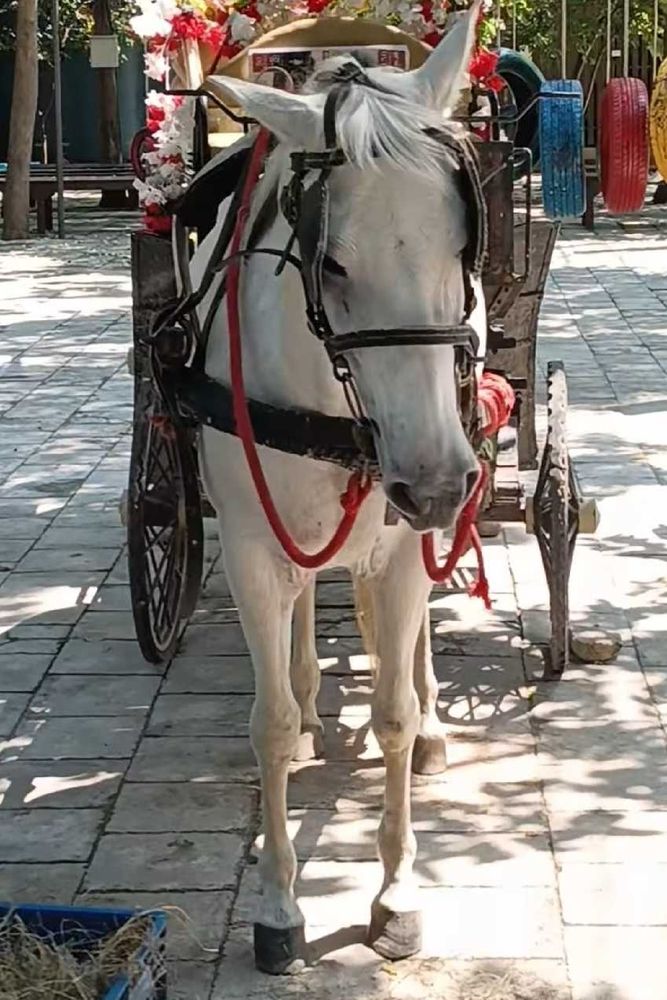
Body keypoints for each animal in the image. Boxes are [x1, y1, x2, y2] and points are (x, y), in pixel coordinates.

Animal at [191, 2, 487, 973]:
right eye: (329, 264)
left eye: (463, 246)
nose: (433, 482)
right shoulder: (249, 547)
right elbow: (271, 725)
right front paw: (280, 905)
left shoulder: (399, 542)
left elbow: (391, 708)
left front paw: (394, 894)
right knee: (299, 622)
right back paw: (311, 697)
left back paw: (430, 724)